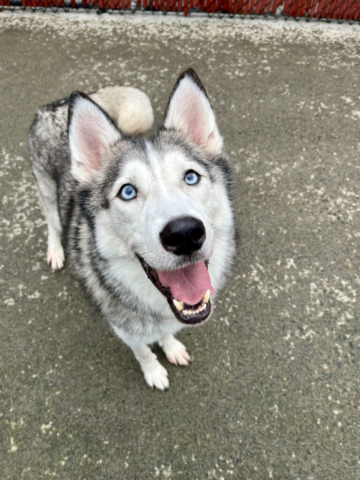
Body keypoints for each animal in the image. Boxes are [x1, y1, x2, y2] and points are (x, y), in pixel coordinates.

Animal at [28, 68, 236, 390]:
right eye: (127, 192)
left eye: (190, 177)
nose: (184, 234)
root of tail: (59, 103)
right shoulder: (126, 330)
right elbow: (143, 352)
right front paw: (154, 371)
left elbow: (165, 333)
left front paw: (171, 347)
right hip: (46, 189)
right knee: (51, 222)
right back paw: (56, 251)